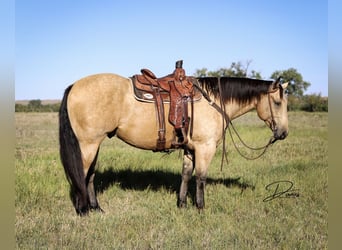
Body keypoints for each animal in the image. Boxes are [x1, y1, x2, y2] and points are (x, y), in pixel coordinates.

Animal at [59, 63, 288, 216]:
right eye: (277, 102)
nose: (283, 133)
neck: (213, 100)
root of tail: (74, 86)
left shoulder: (189, 148)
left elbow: (186, 175)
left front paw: (182, 204)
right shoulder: (205, 147)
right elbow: (201, 178)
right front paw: (200, 208)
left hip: (94, 144)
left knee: (90, 175)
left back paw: (96, 208)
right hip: (88, 145)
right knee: (82, 174)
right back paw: (83, 210)